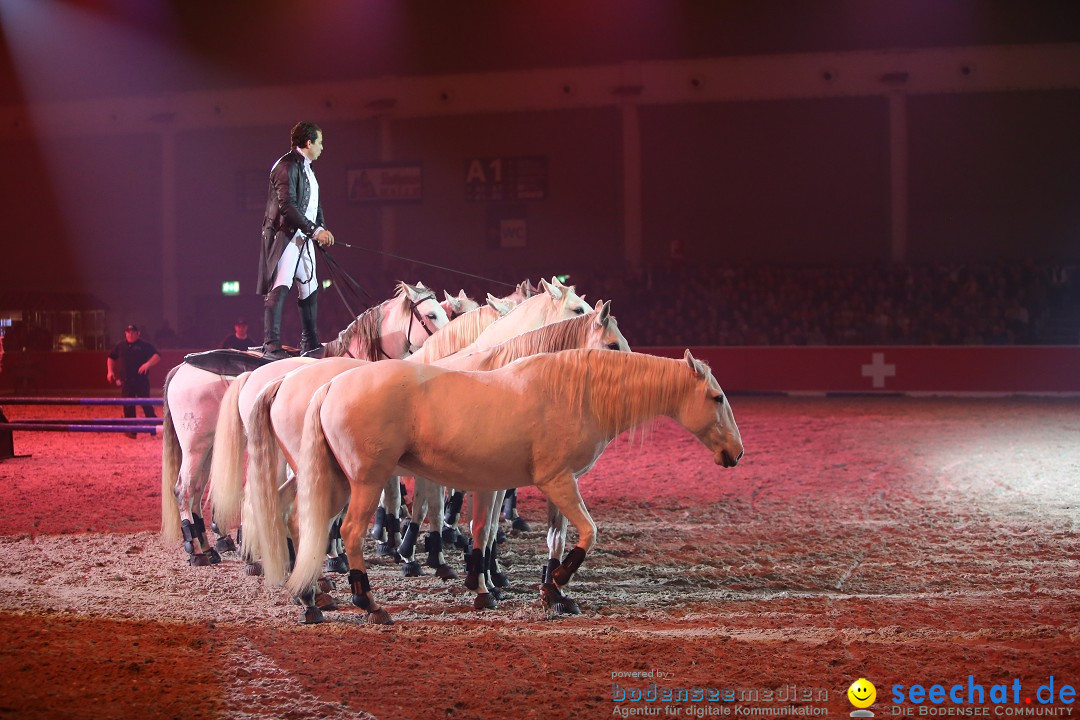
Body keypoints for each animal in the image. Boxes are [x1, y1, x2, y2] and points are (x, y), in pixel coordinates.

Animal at [159, 278, 447, 565]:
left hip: (208, 447)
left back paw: (208, 546)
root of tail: (183, 367)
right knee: (184, 490)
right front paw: (334, 552)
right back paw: (197, 550)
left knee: (197, 491)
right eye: (431, 314)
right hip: (195, 446)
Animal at [285, 349, 743, 626]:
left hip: (337, 482)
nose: (735, 454)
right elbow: (589, 532)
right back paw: (368, 602)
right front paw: (558, 579)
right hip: (366, 481)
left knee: (304, 524)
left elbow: (555, 537)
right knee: (348, 533)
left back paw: (310, 599)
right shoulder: (557, 481)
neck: (576, 394)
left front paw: (553, 592)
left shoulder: (558, 484)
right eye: (717, 398)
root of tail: (331, 385)